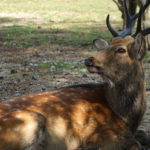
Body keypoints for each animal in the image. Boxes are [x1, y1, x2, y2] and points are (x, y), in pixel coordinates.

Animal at [0, 0, 149, 149]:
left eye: (121, 49)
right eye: (108, 45)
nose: (89, 59)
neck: (125, 115)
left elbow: (143, 135)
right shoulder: (102, 134)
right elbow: (135, 143)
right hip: (30, 120)